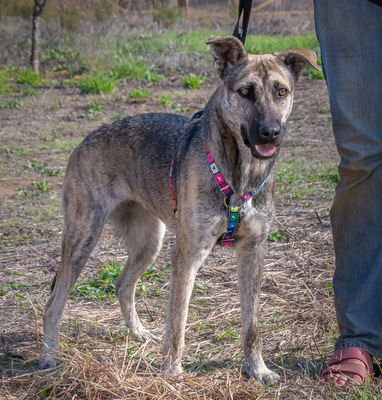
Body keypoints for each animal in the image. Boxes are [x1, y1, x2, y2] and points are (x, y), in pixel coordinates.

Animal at [40, 36, 320, 382]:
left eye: (282, 92)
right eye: (245, 92)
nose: (270, 132)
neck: (240, 174)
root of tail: (82, 142)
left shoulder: (253, 252)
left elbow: (252, 326)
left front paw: (257, 369)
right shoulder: (187, 256)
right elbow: (177, 324)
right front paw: (172, 371)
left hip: (149, 243)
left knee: (122, 285)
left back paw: (137, 333)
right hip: (83, 237)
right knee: (55, 300)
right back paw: (49, 355)